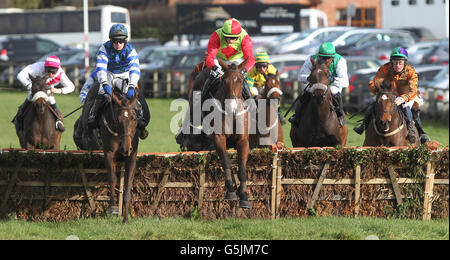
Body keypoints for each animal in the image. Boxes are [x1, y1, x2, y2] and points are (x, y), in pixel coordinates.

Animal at [100, 88, 139, 222]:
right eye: (118, 120)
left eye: (134, 118)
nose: (126, 148)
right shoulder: (108, 153)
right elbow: (112, 178)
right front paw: (113, 207)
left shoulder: (132, 157)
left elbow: (128, 185)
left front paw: (125, 219)